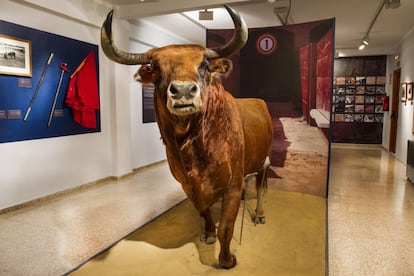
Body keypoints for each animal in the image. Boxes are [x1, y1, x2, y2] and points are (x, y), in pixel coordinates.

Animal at [100, 5, 274, 268]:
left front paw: (226, 260)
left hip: (264, 160)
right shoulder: (187, 186)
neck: (194, 145)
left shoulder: (231, 186)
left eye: (203, 64)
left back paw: (261, 215)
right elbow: (203, 211)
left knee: (262, 187)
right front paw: (208, 233)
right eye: (155, 67)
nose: (183, 91)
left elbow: (226, 227)